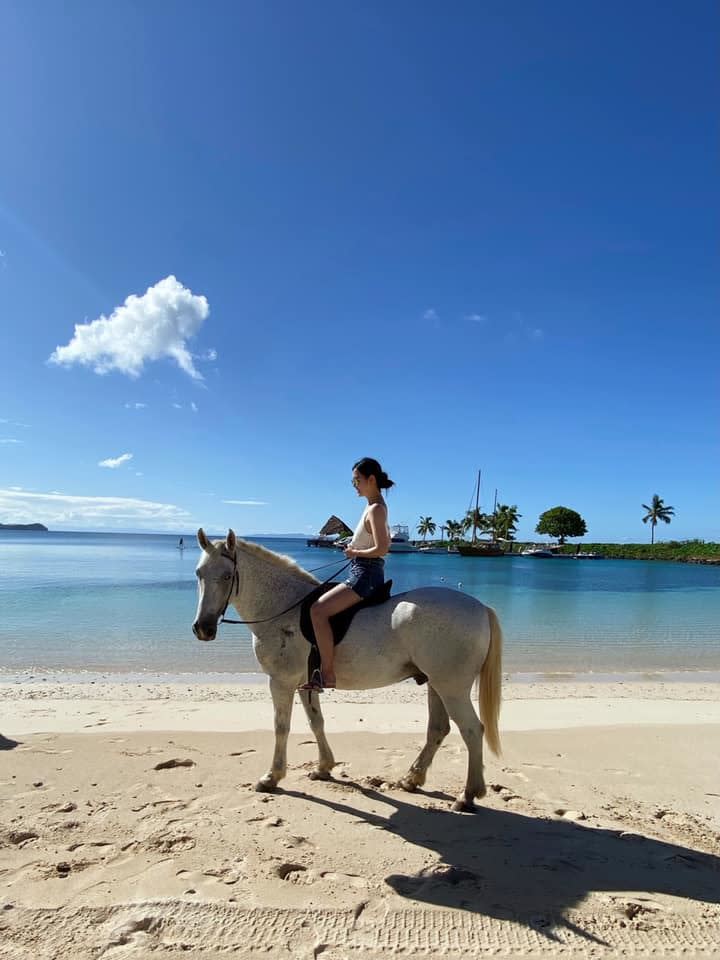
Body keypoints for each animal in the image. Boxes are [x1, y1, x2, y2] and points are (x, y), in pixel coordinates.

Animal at [194, 528, 504, 812]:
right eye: (199, 574)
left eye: (227, 576)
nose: (203, 629)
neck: (283, 608)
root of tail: (480, 607)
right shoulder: (305, 684)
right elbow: (316, 722)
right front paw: (324, 767)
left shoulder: (280, 682)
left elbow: (281, 727)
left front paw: (272, 777)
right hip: (434, 683)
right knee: (438, 729)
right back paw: (412, 779)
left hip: (452, 688)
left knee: (472, 730)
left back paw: (467, 795)